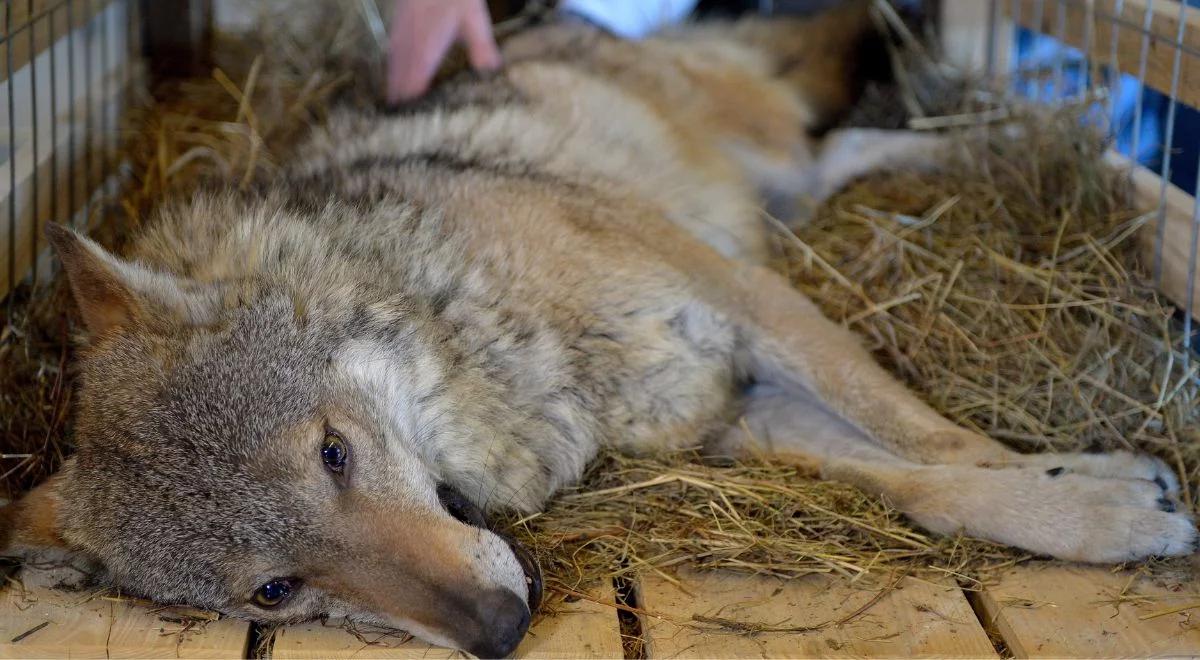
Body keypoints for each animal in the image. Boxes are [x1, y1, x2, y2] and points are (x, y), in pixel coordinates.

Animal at [2, 2, 1200, 657]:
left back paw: (1066, 159)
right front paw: (1096, 505)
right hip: (787, 193)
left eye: (334, 453)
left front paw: (1077, 484)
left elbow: (934, 435)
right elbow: (925, 486)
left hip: (766, 171)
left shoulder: (736, 295)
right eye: (276, 590)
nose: (499, 633)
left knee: (879, 136)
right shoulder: (729, 417)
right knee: (861, 152)